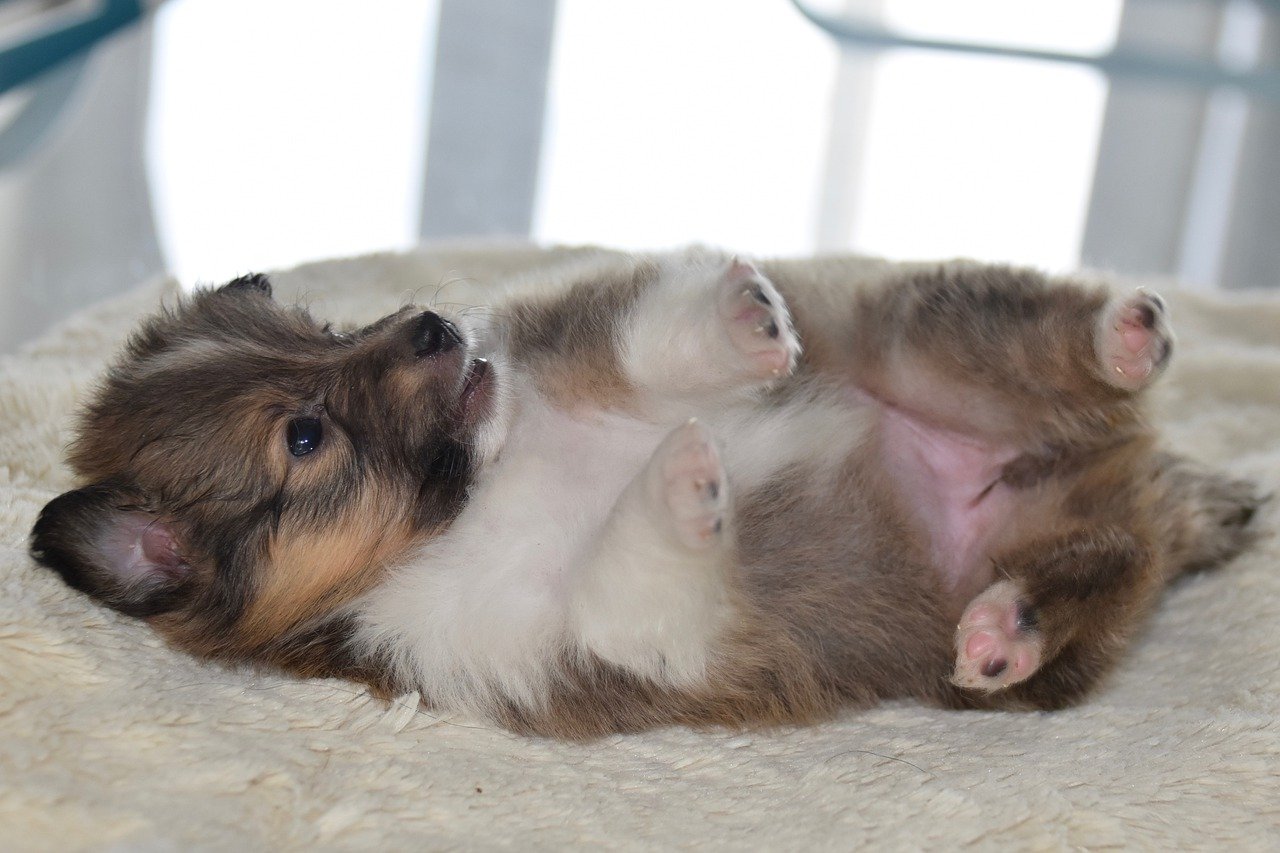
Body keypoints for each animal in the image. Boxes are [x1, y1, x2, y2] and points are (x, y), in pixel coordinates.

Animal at [30, 249, 1259, 732]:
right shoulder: (584, 645)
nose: (430, 324)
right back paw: (1006, 626)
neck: (491, 484)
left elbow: (645, 346)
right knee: (1089, 579)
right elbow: (630, 577)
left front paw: (744, 328)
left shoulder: (565, 347)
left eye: (323, 330)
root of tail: (1116, 463)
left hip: (921, 340)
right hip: (1021, 584)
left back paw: (1125, 337)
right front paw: (680, 479)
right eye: (302, 434)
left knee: (1032, 347)